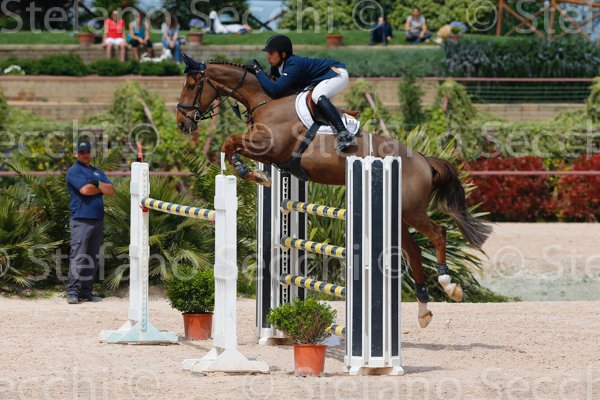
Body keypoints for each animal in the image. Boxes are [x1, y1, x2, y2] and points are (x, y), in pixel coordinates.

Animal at [176, 54, 492, 328]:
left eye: (191, 84)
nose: (181, 123)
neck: (263, 99)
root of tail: (424, 160)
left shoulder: (270, 146)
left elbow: (230, 142)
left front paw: (249, 172)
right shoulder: (270, 153)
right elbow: (231, 145)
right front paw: (254, 173)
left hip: (412, 211)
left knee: (439, 233)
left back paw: (449, 286)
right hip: (400, 215)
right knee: (413, 251)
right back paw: (424, 309)